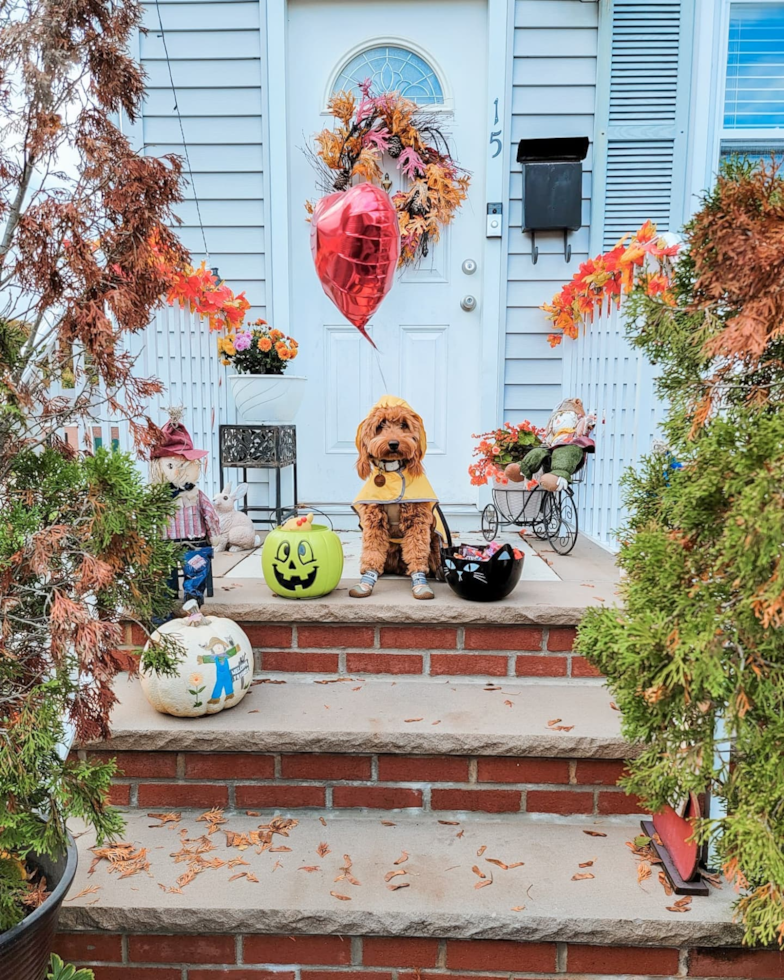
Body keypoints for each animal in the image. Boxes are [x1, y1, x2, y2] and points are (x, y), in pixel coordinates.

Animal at [348, 396, 440, 596]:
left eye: (404, 425)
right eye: (381, 424)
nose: (393, 443)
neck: (392, 473)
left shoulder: (418, 521)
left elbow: (417, 551)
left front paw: (420, 582)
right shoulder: (374, 522)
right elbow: (373, 551)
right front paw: (367, 580)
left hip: (435, 538)